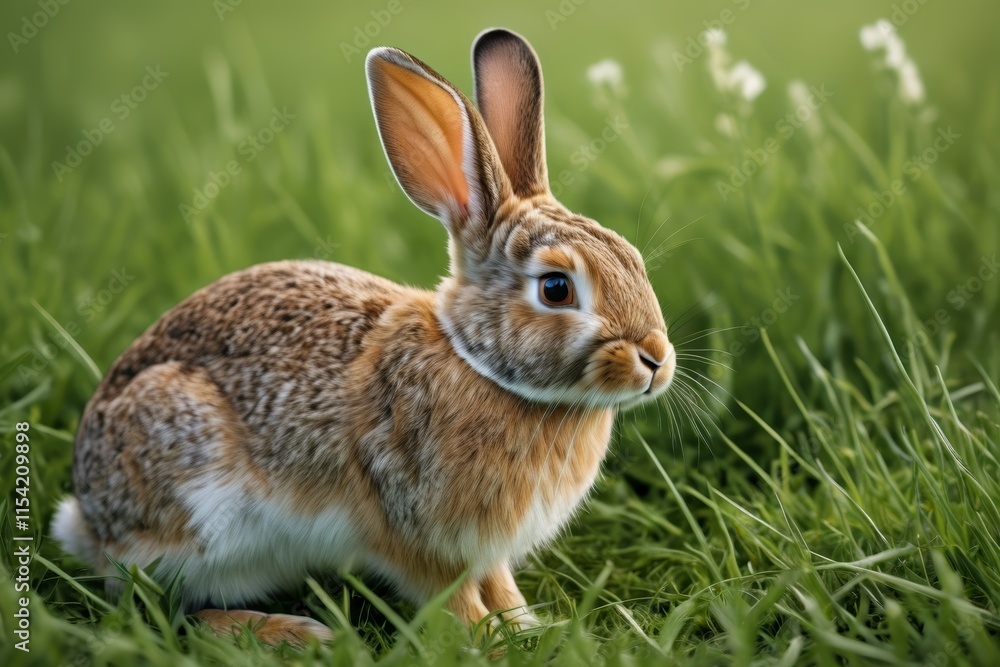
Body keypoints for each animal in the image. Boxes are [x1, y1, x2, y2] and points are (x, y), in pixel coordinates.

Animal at [52, 27, 676, 645]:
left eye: (633, 258)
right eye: (555, 288)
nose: (656, 360)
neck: (477, 363)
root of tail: (88, 519)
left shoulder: (482, 548)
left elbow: (497, 584)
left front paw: (526, 627)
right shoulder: (408, 530)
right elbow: (450, 596)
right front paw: (483, 641)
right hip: (193, 508)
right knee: (165, 608)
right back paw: (293, 632)